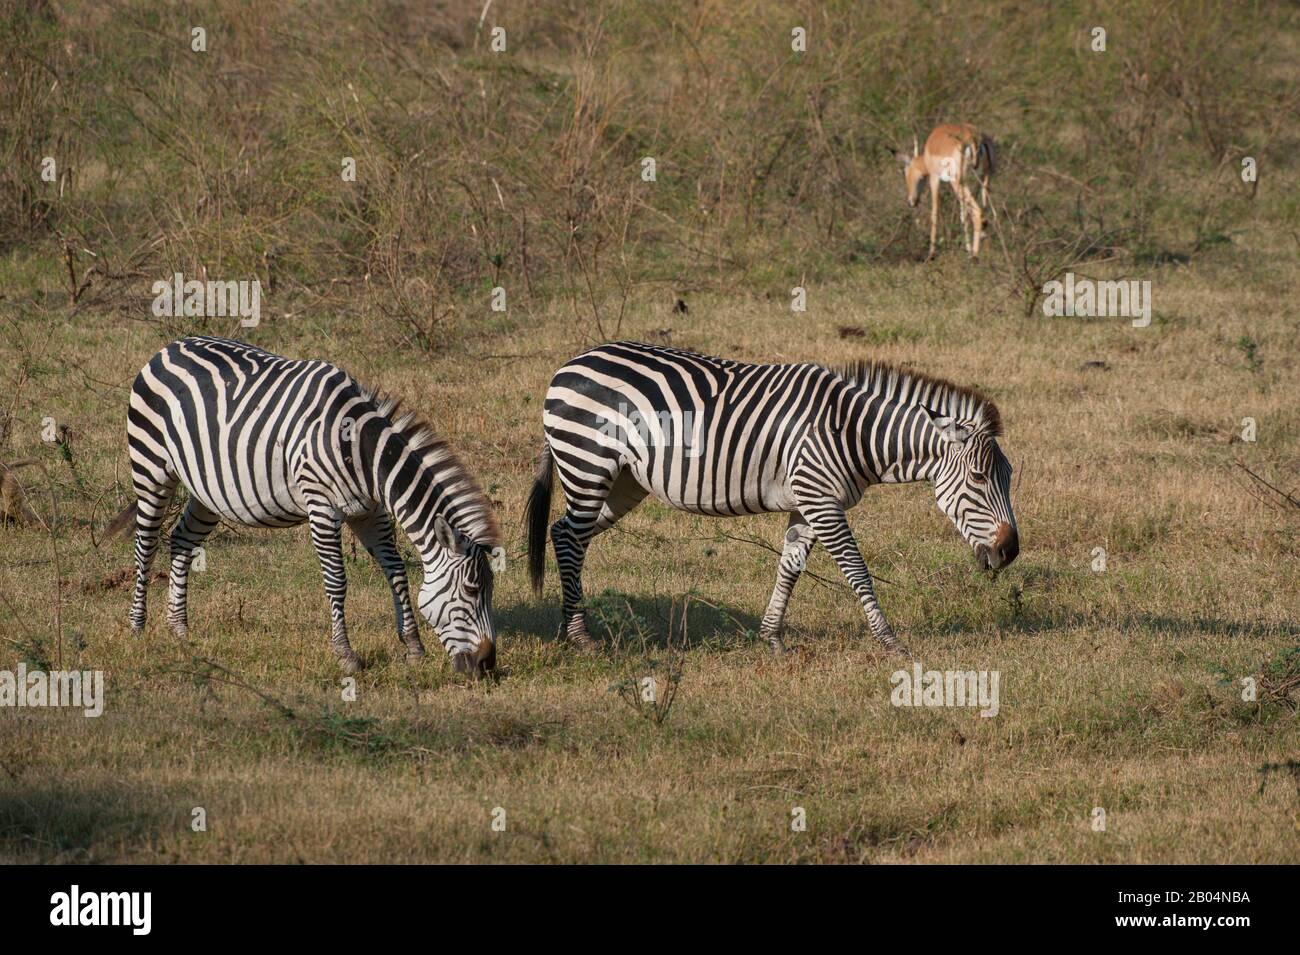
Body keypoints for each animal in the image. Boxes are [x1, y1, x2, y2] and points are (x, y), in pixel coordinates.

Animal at [107, 337, 502, 675]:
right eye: (472, 591)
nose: (486, 665)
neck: (360, 449)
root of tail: (168, 347)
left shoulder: (369, 510)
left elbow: (397, 571)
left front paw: (413, 648)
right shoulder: (322, 507)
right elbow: (337, 580)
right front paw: (346, 656)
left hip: (208, 489)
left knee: (182, 540)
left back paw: (179, 629)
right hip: (151, 467)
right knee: (146, 545)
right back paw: (138, 626)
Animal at [526, 341, 1018, 655]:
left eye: (1009, 477)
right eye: (978, 478)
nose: (1010, 552)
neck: (852, 431)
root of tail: (571, 362)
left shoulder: (807, 503)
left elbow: (790, 569)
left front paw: (772, 638)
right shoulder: (821, 500)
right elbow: (857, 571)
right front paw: (891, 642)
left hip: (623, 481)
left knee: (565, 533)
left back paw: (567, 627)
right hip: (587, 463)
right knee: (569, 538)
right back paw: (582, 638)